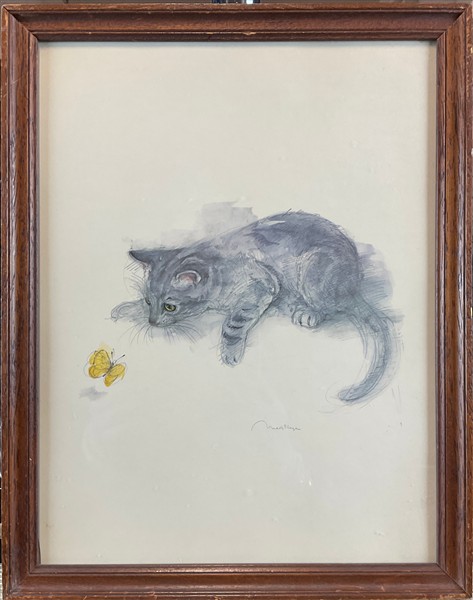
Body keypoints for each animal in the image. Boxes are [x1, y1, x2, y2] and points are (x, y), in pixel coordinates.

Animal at [112, 211, 398, 402]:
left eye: (170, 307)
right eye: (149, 302)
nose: (152, 321)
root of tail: (353, 284)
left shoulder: (261, 286)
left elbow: (232, 324)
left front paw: (230, 351)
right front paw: (126, 308)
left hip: (313, 269)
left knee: (332, 306)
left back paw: (308, 311)